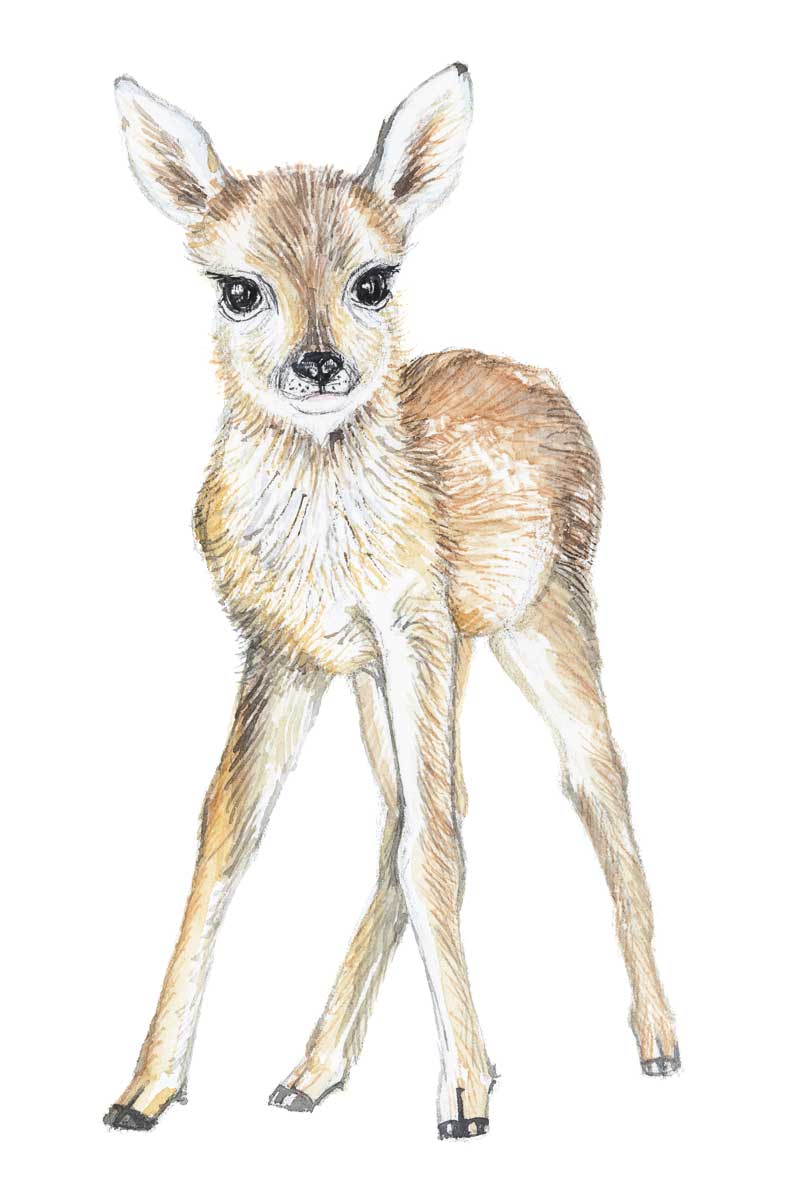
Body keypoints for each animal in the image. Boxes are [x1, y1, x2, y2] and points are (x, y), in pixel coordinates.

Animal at [105, 63, 679, 1140]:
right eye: (238, 289)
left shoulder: (411, 617)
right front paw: (142, 1091)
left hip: (540, 613)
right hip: (408, 665)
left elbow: (431, 846)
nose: (320, 364)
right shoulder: (283, 649)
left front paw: (459, 1102)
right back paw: (313, 1071)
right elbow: (224, 839)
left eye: (374, 279)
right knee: (419, 813)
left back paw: (657, 1042)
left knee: (594, 787)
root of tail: (538, 379)